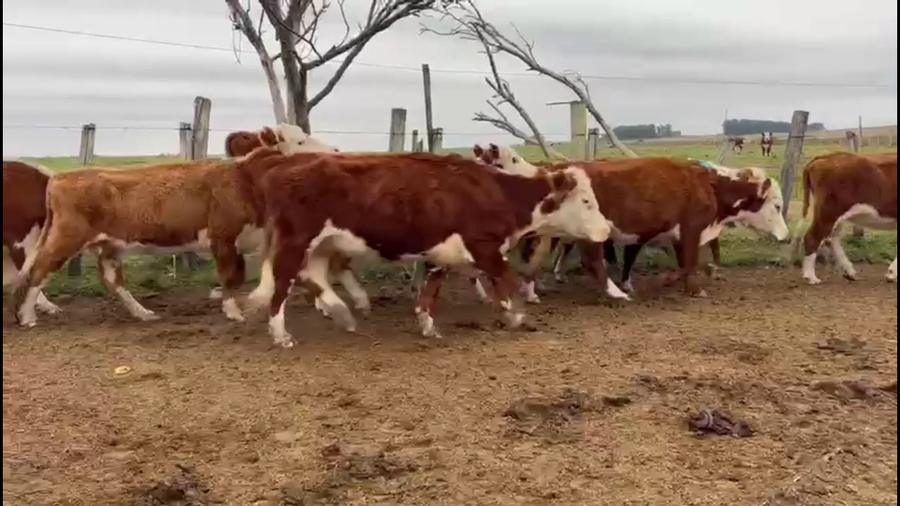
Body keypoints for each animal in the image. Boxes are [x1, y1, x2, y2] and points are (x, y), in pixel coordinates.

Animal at [11, 124, 339, 328]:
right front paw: (233, 312)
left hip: (107, 246)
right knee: (38, 271)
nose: (335, 151)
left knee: (113, 281)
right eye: (299, 140)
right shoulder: (223, 237)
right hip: (66, 239)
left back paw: (143, 313)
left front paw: (323, 304)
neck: (245, 179)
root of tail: (60, 177)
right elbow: (231, 276)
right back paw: (27, 316)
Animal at [240, 151, 610, 348]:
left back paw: (342, 313)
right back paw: (282, 335)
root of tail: (284, 166)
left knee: (312, 276)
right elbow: (507, 281)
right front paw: (516, 316)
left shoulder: (440, 254)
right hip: (296, 241)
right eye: (586, 201)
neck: (497, 193)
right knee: (283, 283)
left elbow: (430, 291)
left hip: (322, 245)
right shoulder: (485, 247)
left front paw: (428, 325)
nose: (606, 229)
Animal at [472, 143, 789, 298]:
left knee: (537, 259)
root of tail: (558, 171)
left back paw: (532, 292)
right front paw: (693, 289)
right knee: (592, 261)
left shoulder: (675, 234)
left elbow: (682, 263)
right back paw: (613, 293)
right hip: (590, 233)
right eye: (777, 205)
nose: (786, 236)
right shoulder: (691, 230)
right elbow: (689, 262)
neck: (708, 184)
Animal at [796, 152, 897, 284]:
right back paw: (811, 277)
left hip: (835, 216)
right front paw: (892, 274)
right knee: (813, 237)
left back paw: (850, 272)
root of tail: (825, 157)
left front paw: (892, 274)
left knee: (832, 239)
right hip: (828, 212)